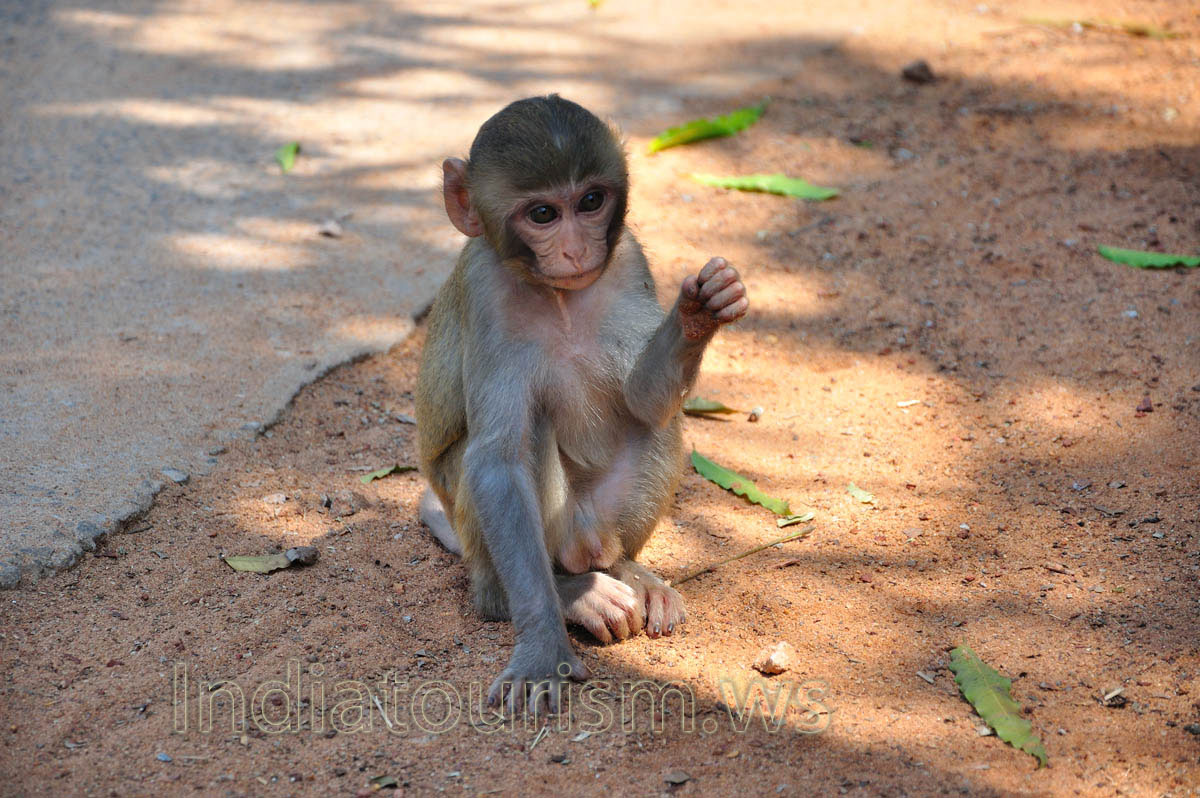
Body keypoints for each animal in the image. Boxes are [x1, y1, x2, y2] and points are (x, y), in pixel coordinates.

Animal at [414, 95, 748, 714]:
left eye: (591, 201)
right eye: (543, 214)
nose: (574, 249)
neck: (557, 297)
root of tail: (584, 539)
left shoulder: (630, 259)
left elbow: (643, 403)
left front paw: (700, 308)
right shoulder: (486, 293)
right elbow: (497, 461)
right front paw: (543, 644)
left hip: (601, 518)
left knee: (657, 428)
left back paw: (627, 572)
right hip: (518, 532)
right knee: (523, 441)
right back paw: (563, 594)